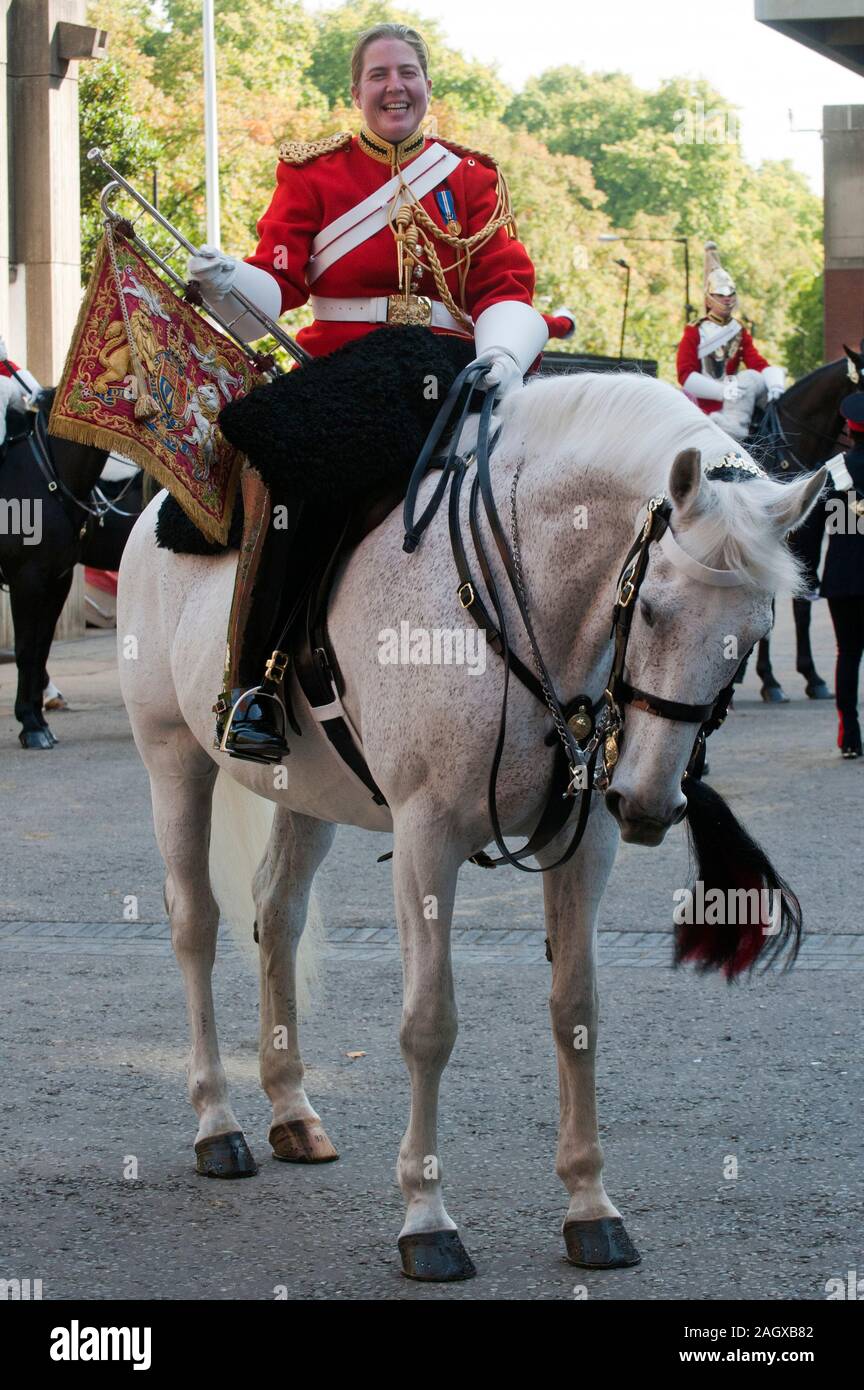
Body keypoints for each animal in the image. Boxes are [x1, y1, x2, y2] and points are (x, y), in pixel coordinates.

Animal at [0, 391, 140, 750]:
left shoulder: (57, 579)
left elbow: (41, 648)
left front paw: (37, 719)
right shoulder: (27, 579)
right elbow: (26, 648)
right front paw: (30, 725)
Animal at [116, 369, 827, 1278]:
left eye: (756, 631)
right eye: (655, 611)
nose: (649, 802)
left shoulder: (585, 842)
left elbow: (576, 1011)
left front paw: (590, 1204)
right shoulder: (428, 840)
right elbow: (429, 1024)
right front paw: (427, 1217)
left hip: (304, 792)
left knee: (276, 914)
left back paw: (291, 1109)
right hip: (173, 759)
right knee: (195, 925)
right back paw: (218, 1121)